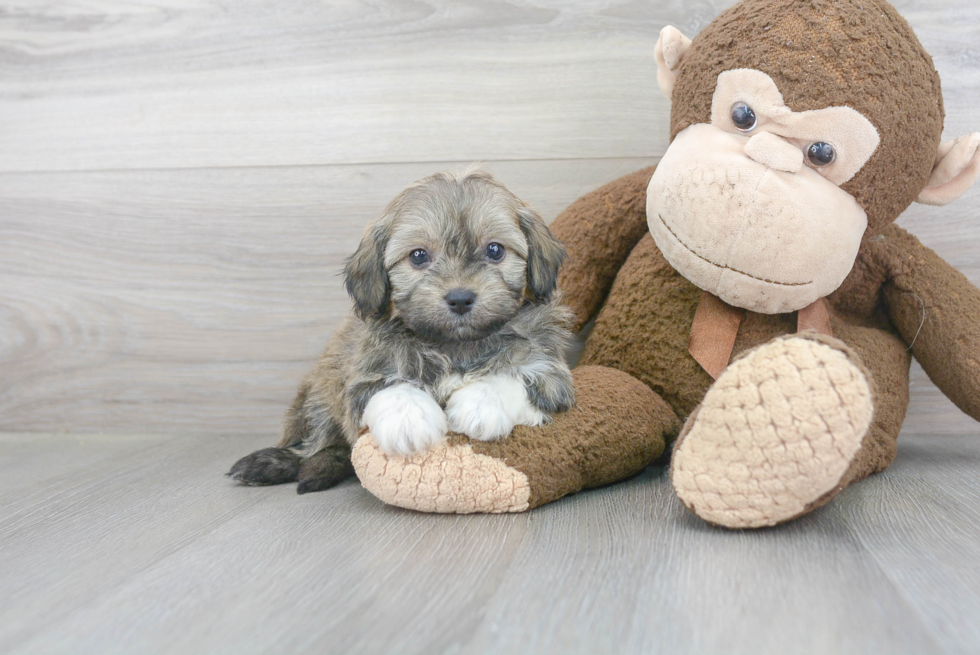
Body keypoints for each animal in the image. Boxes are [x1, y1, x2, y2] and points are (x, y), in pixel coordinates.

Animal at [228, 169, 576, 492]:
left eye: (494, 250)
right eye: (418, 255)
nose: (460, 298)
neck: (454, 345)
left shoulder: (552, 372)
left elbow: (515, 372)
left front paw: (482, 404)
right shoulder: (364, 375)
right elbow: (392, 385)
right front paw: (409, 421)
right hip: (318, 395)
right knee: (313, 441)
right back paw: (272, 463)